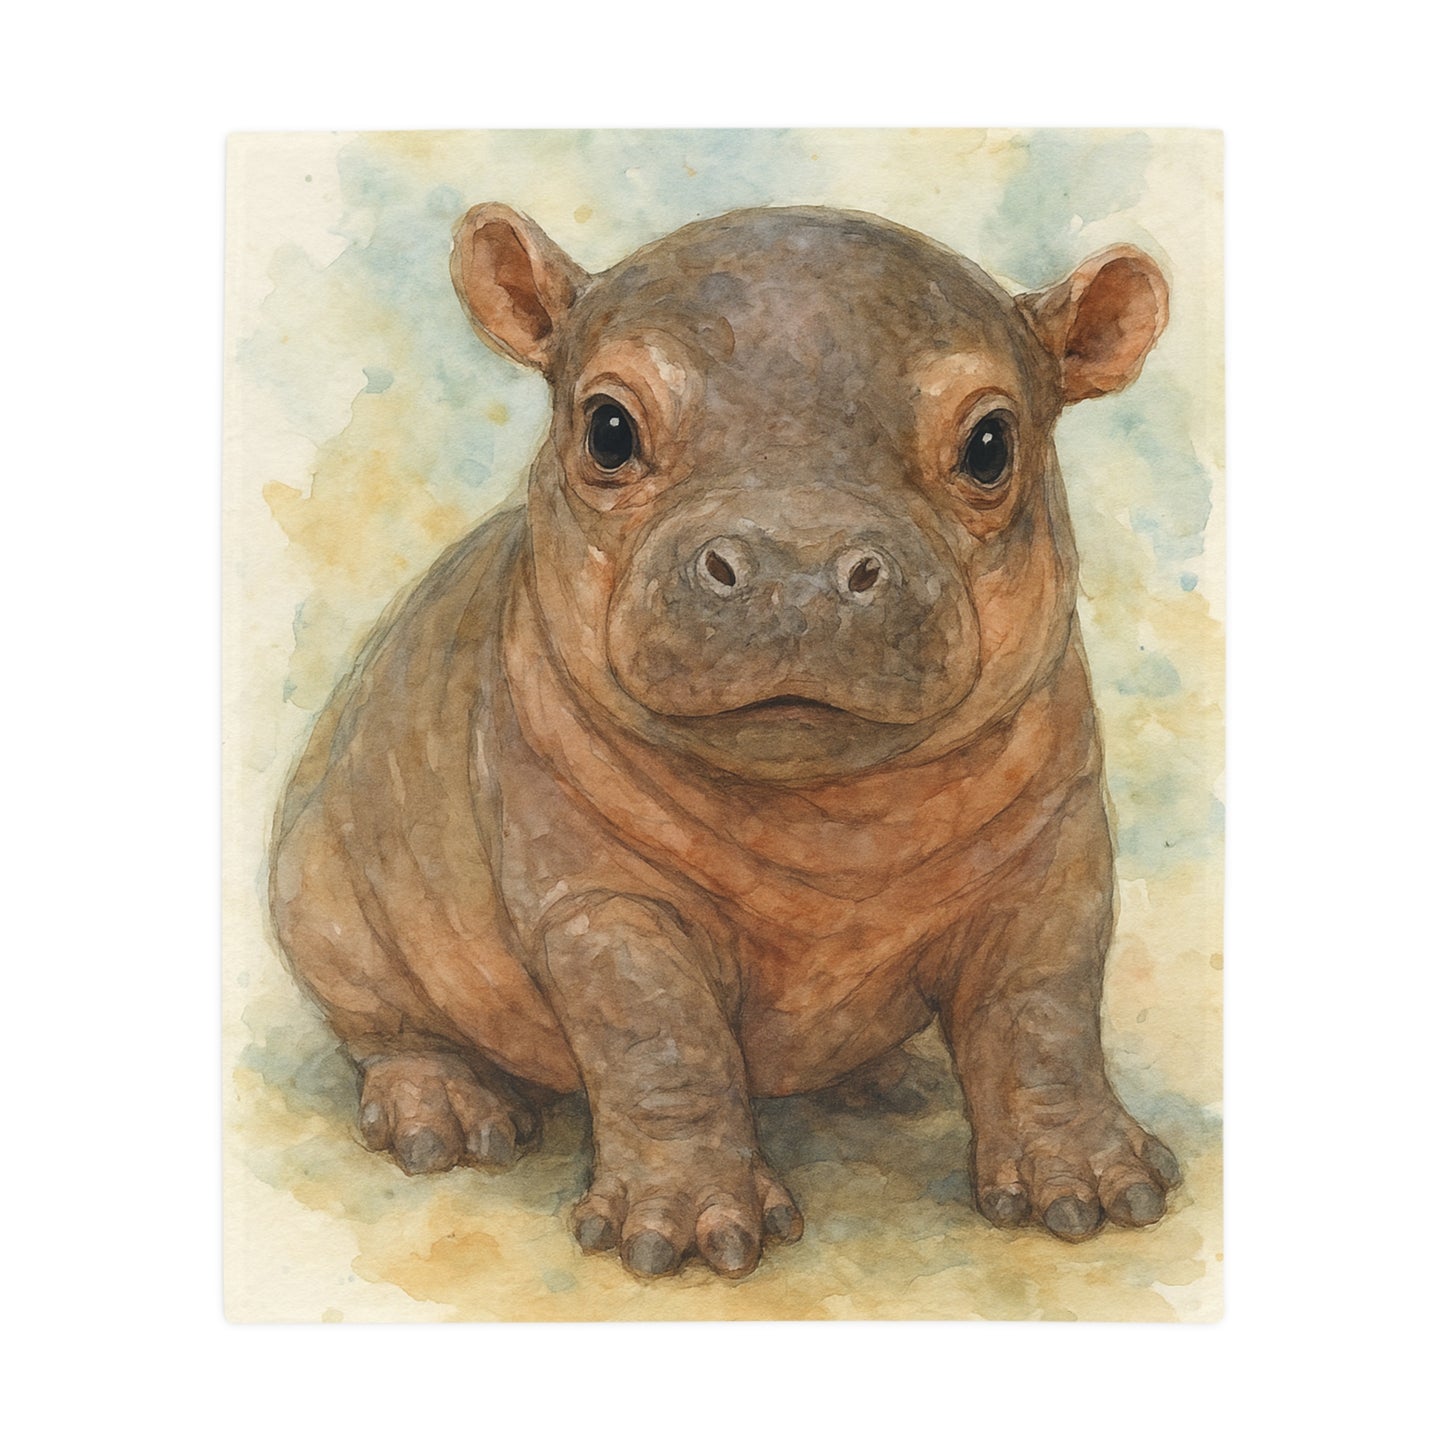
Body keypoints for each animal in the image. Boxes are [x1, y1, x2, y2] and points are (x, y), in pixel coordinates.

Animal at [269, 203, 1181, 1279]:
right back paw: (449, 1121)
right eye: (606, 427)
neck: (829, 815)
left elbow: (1043, 1015)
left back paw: (884, 1083)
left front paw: (1098, 1196)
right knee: (390, 1028)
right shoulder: (601, 898)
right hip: (324, 898)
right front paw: (686, 1240)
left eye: (991, 442)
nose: (794, 562)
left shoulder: (1053, 863)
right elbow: (660, 1041)